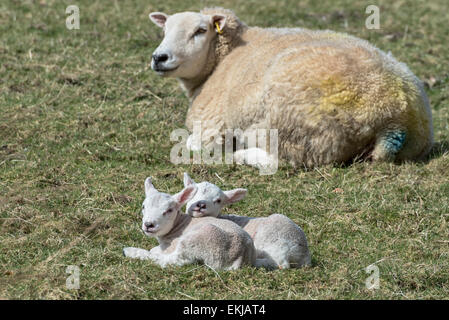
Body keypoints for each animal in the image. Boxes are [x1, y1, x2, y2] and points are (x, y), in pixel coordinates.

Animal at [122, 178, 256, 270]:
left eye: (169, 210)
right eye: (143, 206)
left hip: (200, 239)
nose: (149, 224)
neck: (178, 224)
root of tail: (240, 257)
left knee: (173, 260)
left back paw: (130, 251)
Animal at [150, 7, 430, 168]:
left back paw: (242, 155)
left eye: (200, 30)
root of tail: (395, 118)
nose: (159, 57)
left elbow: (192, 144)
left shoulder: (211, 125)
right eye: (164, 30)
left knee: (282, 160)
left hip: (294, 127)